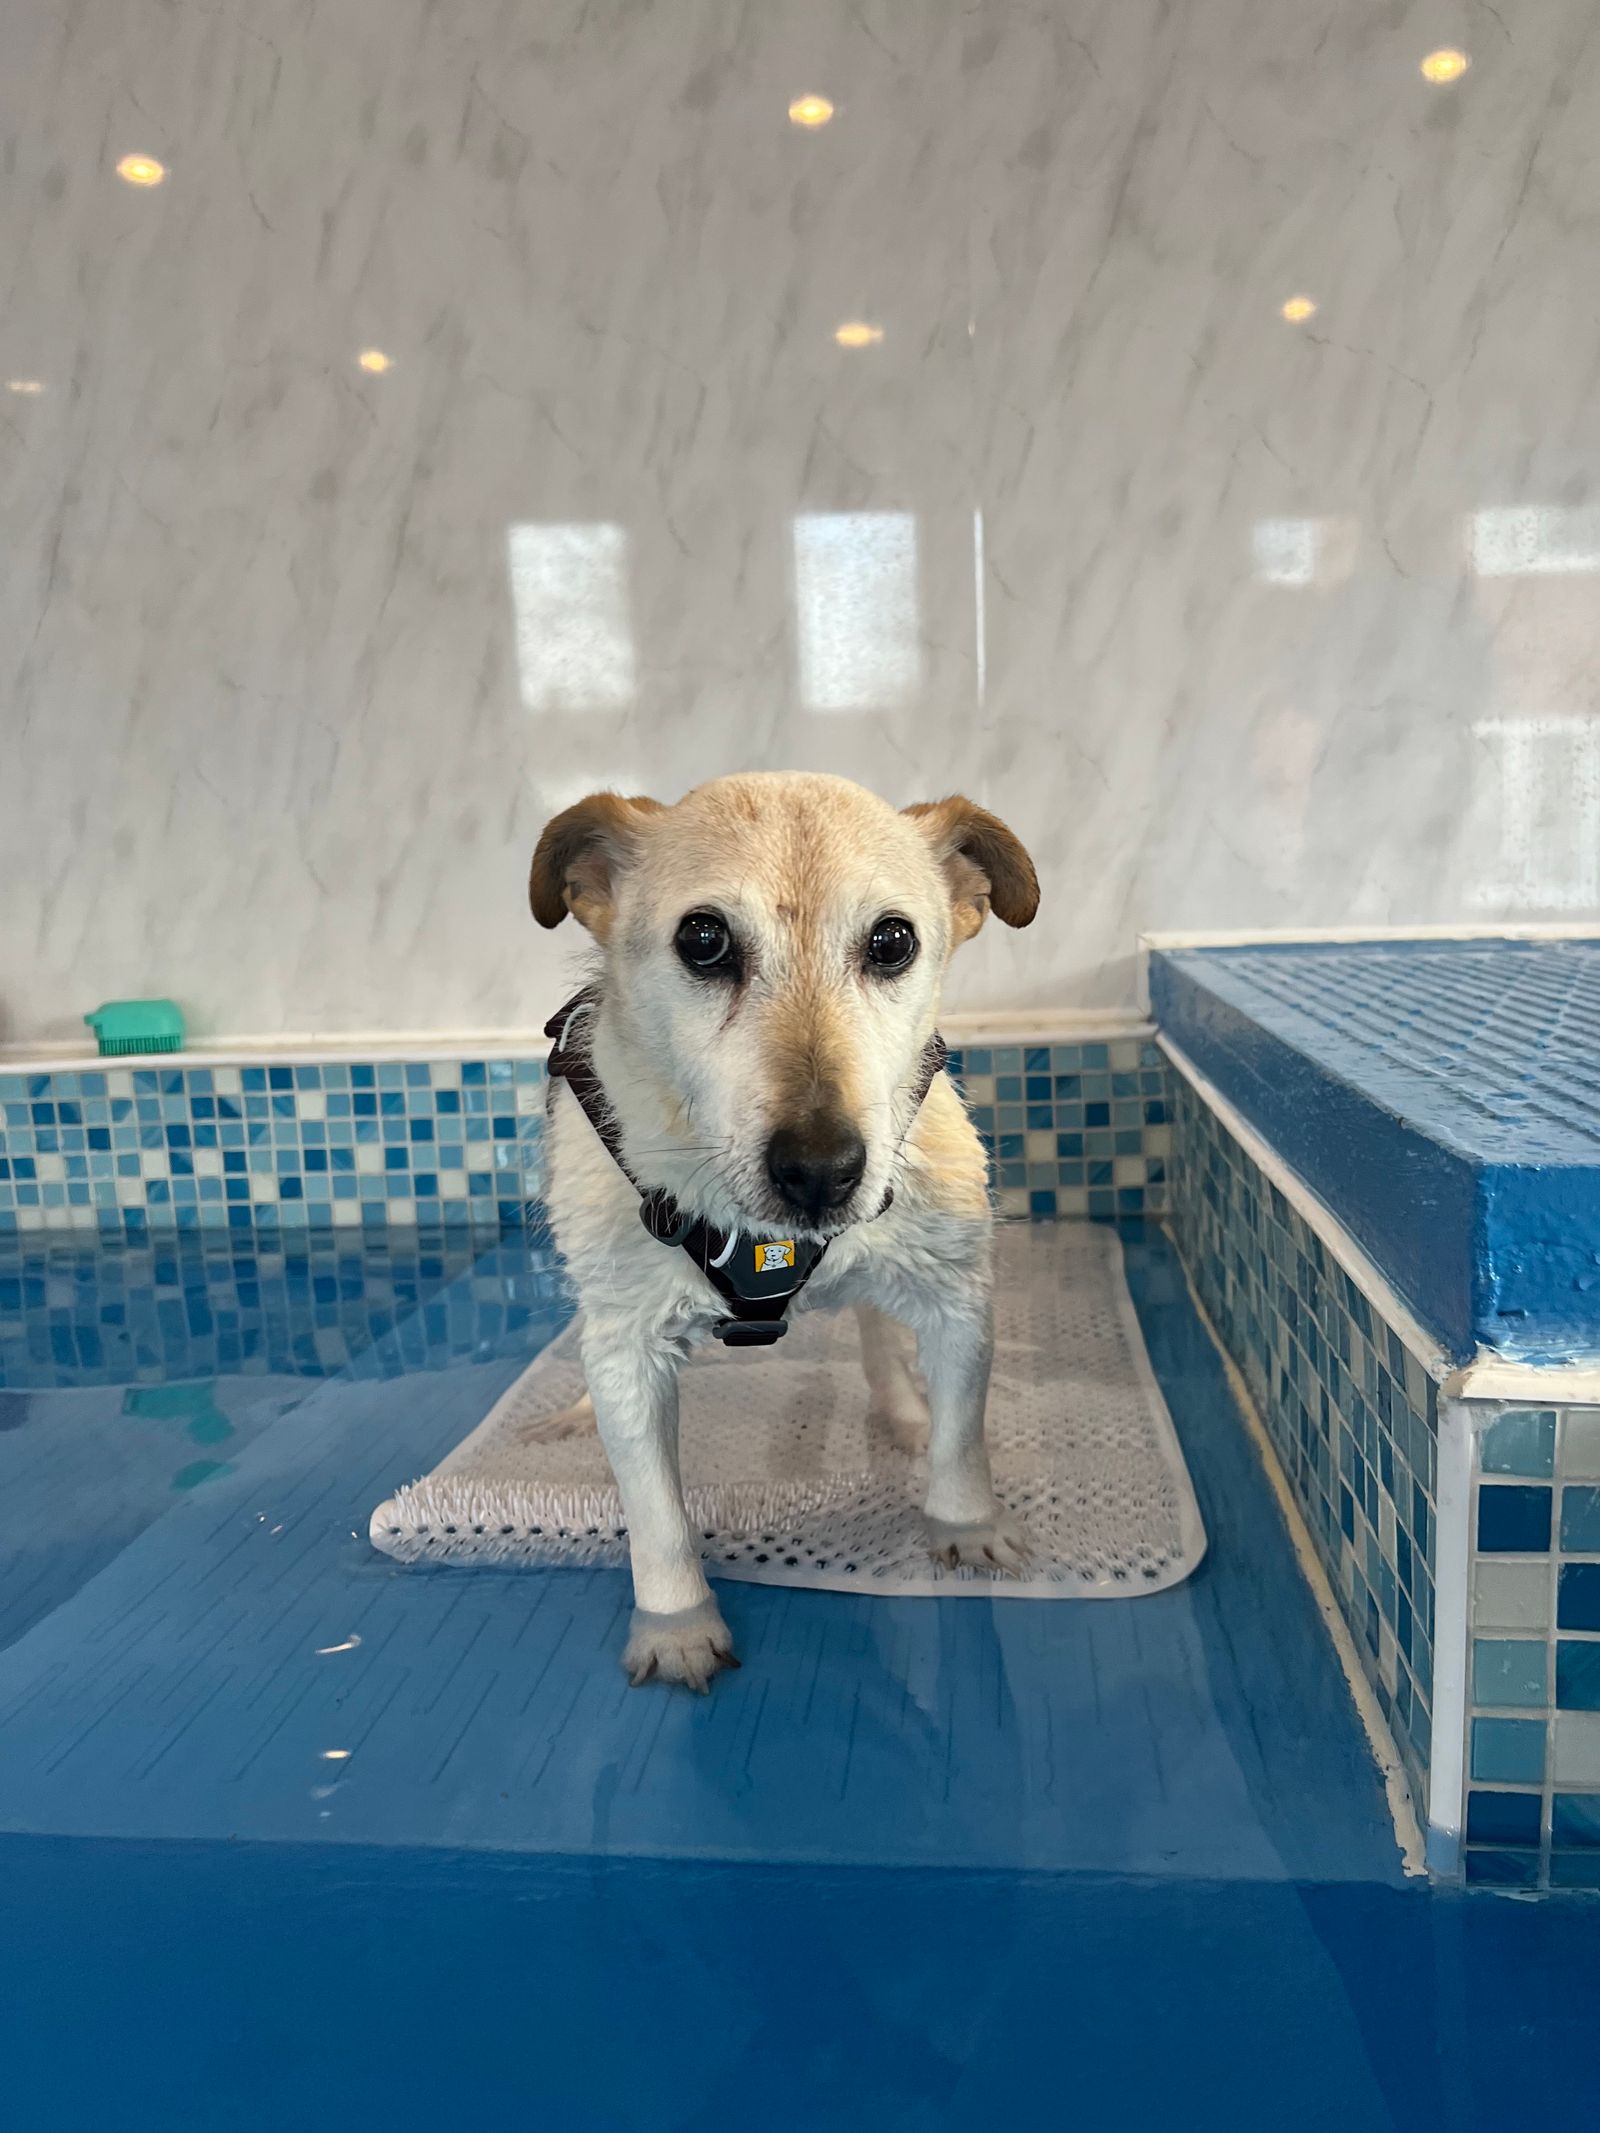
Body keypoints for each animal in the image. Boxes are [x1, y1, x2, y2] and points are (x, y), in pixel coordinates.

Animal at [533, 776, 1045, 1689]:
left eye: (892, 939)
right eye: (703, 938)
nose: (820, 1169)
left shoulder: (957, 1296)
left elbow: (963, 1434)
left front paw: (968, 1525)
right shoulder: (628, 1343)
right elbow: (657, 1512)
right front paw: (677, 1624)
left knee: (878, 1332)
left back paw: (901, 1409)